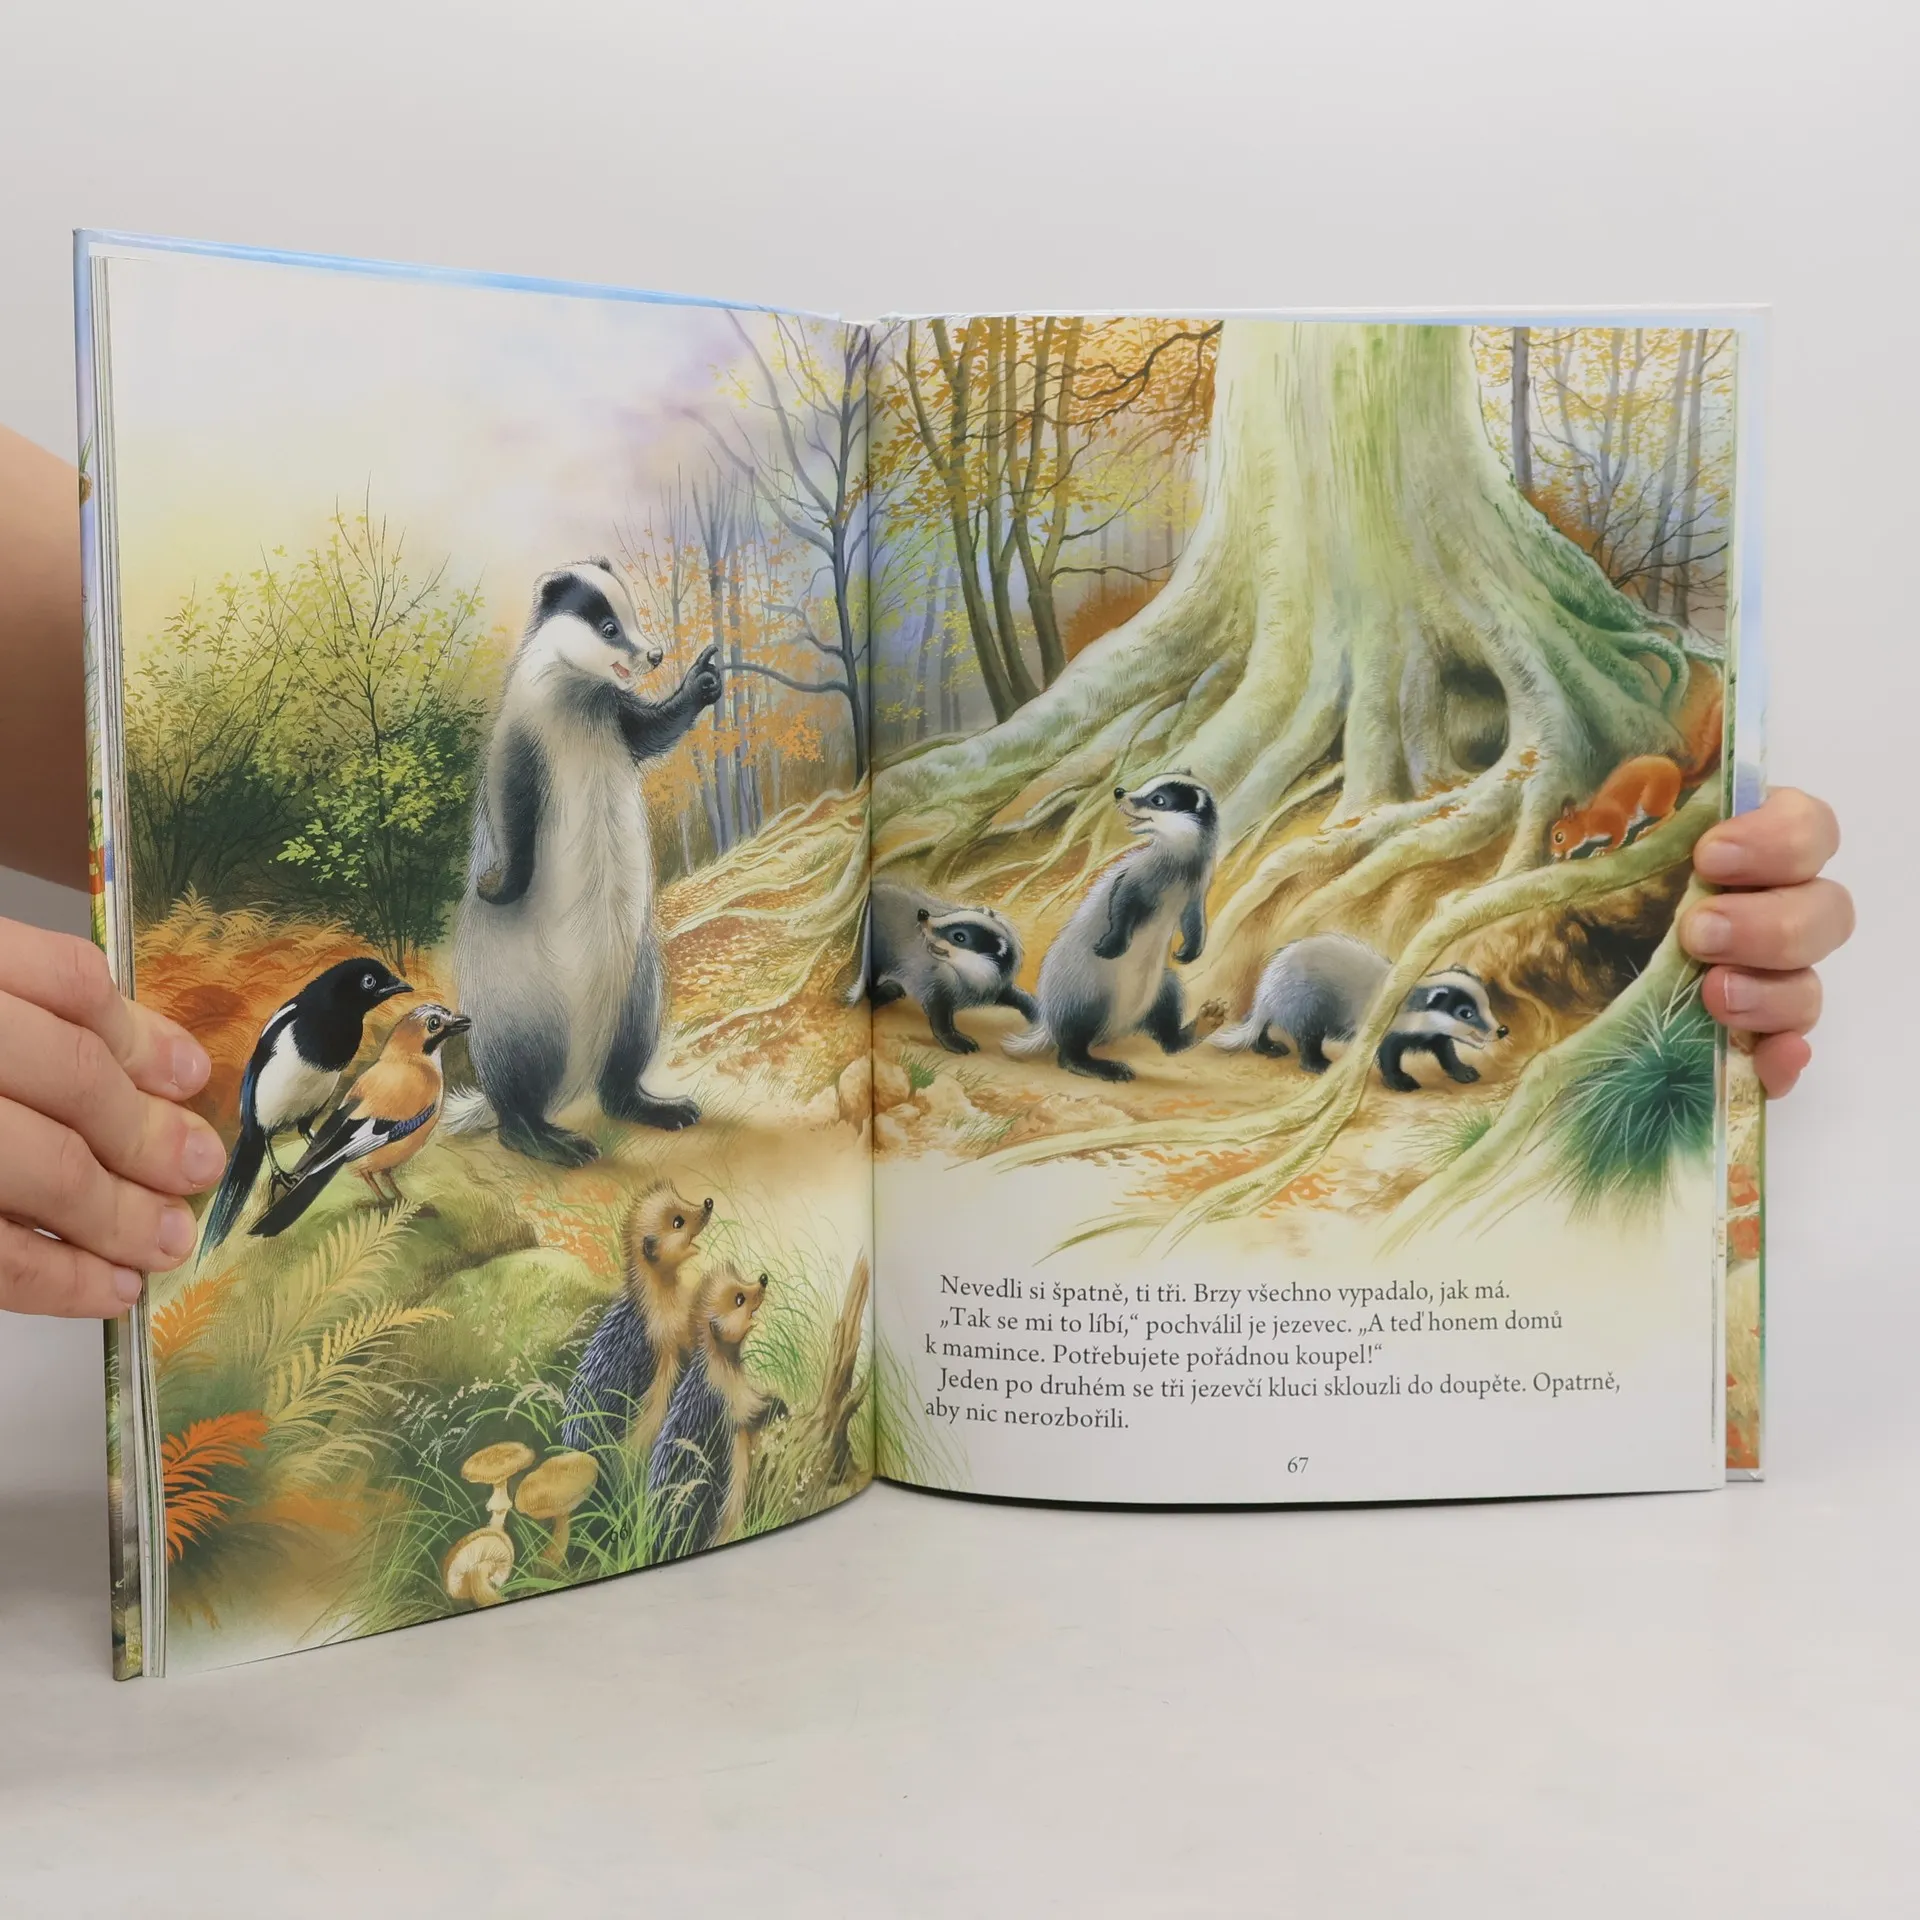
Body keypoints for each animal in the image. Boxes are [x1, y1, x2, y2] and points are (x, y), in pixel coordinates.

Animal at [1549, 681, 1724, 861]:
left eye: (1559, 836)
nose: (1553, 853)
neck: (1587, 820)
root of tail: (1678, 775)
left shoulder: (1612, 819)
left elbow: (1619, 834)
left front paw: (1604, 849)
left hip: (1652, 799)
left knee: (1672, 812)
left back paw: (1649, 829)